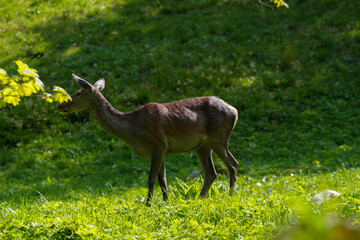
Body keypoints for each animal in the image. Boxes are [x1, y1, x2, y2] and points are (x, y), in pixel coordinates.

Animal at [57, 74, 239, 205]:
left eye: (78, 93)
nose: (60, 105)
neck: (133, 129)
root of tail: (234, 111)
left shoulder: (158, 144)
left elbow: (151, 178)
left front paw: (148, 204)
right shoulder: (162, 149)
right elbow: (162, 179)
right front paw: (166, 201)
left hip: (218, 138)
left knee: (232, 164)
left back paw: (230, 195)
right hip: (203, 145)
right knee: (212, 171)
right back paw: (201, 198)